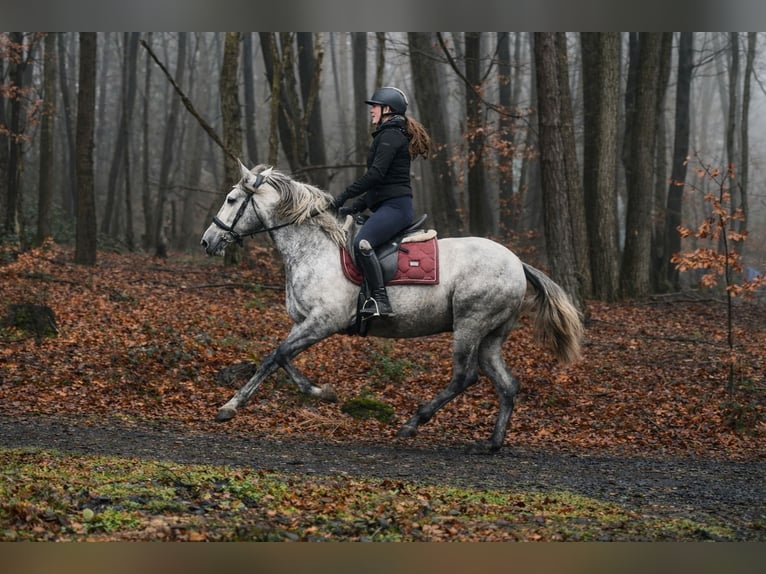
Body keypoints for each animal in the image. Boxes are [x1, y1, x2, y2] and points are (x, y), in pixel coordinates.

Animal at [201, 162, 584, 453]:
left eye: (232, 199)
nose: (208, 241)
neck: (315, 249)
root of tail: (517, 263)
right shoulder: (305, 322)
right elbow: (280, 358)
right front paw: (317, 393)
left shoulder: (324, 320)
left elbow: (275, 356)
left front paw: (233, 406)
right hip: (491, 336)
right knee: (506, 385)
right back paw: (491, 443)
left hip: (471, 325)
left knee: (465, 376)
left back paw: (413, 423)